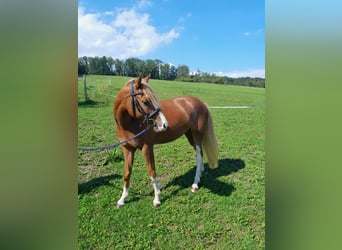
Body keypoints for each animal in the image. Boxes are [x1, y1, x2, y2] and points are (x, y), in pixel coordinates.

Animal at [113, 74, 218, 207]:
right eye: (145, 101)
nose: (164, 124)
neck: (129, 124)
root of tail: (202, 103)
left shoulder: (147, 148)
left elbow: (152, 172)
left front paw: (157, 199)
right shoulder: (127, 149)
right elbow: (127, 173)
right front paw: (122, 199)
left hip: (197, 135)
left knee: (199, 155)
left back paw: (195, 184)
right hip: (190, 135)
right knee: (200, 154)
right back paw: (200, 175)